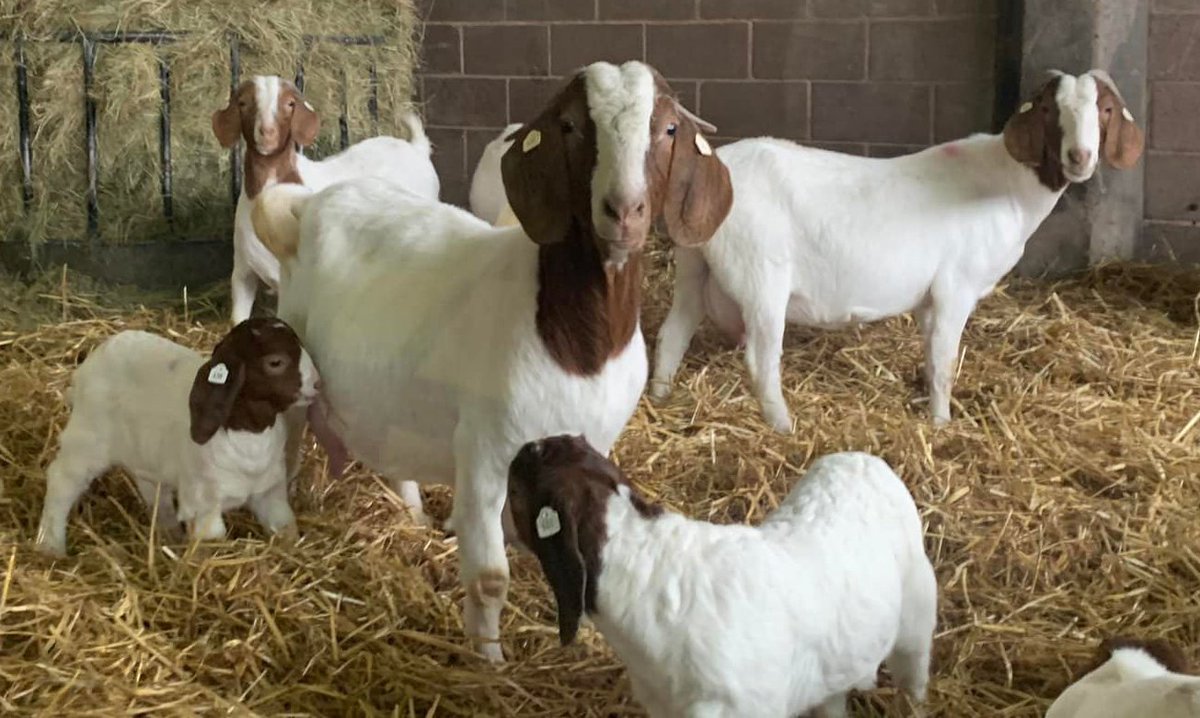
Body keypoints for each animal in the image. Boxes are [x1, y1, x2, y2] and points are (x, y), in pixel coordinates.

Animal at [36, 318, 319, 557]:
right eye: (276, 362)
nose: (317, 383)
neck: (248, 435)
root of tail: (88, 364)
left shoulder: (270, 492)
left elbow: (286, 526)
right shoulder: (202, 503)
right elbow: (211, 542)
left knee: (152, 489)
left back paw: (170, 533)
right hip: (88, 438)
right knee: (62, 480)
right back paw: (50, 546)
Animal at [212, 75, 440, 326]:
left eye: (290, 103)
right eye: (243, 103)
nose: (267, 132)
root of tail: (416, 148)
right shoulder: (243, 272)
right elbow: (238, 319)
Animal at [249, 60, 734, 660]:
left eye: (667, 129)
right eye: (570, 125)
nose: (625, 211)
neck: (574, 343)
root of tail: (305, 208)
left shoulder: (589, 444)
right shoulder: (485, 452)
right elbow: (488, 577)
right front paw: (489, 660)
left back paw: (412, 512)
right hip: (293, 369)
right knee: (287, 446)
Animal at [650, 69, 1146, 431]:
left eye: (1104, 109)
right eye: (1047, 108)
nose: (1080, 157)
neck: (1008, 184)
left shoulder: (929, 299)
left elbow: (930, 355)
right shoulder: (955, 288)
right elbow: (945, 362)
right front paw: (942, 423)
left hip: (694, 263)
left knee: (673, 332)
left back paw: (658, 397)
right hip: (761, 276)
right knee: (760, 360)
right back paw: (783, 426)